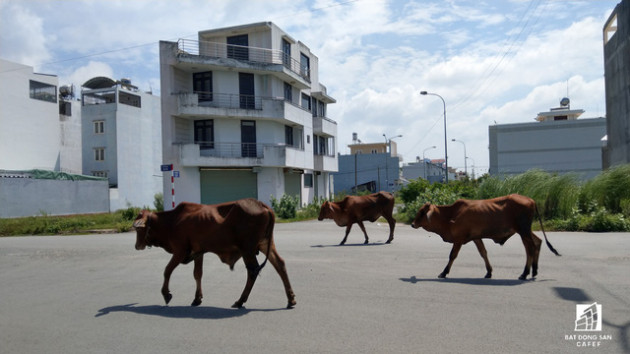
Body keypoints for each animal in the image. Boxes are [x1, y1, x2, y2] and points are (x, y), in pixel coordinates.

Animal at [131, 199, 298, 310]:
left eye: (139, 229)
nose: (137, 246)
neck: (171, 222)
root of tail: (262, 205)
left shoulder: (180, 251)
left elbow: (167, 270)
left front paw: (166, 294)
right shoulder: (198, 253)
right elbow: (197, 274)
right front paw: (197, 298)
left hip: (247, 249)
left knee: (252, 271)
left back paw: (240, 301)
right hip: (264, 244)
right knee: (280, 264)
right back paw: (290, 299)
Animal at [414, 194, 564, 280]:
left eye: (422, 212)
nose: (412, 224)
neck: (450, 215)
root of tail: (531, 200)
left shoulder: (459, 239)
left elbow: (452, 256)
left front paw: (444, 273)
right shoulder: (476, 238)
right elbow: (483, 253)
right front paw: (489, 272)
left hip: (523, 231)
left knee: (530, 249)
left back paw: (525, 273)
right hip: (525, 231)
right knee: (537, 242)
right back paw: (534, 271)